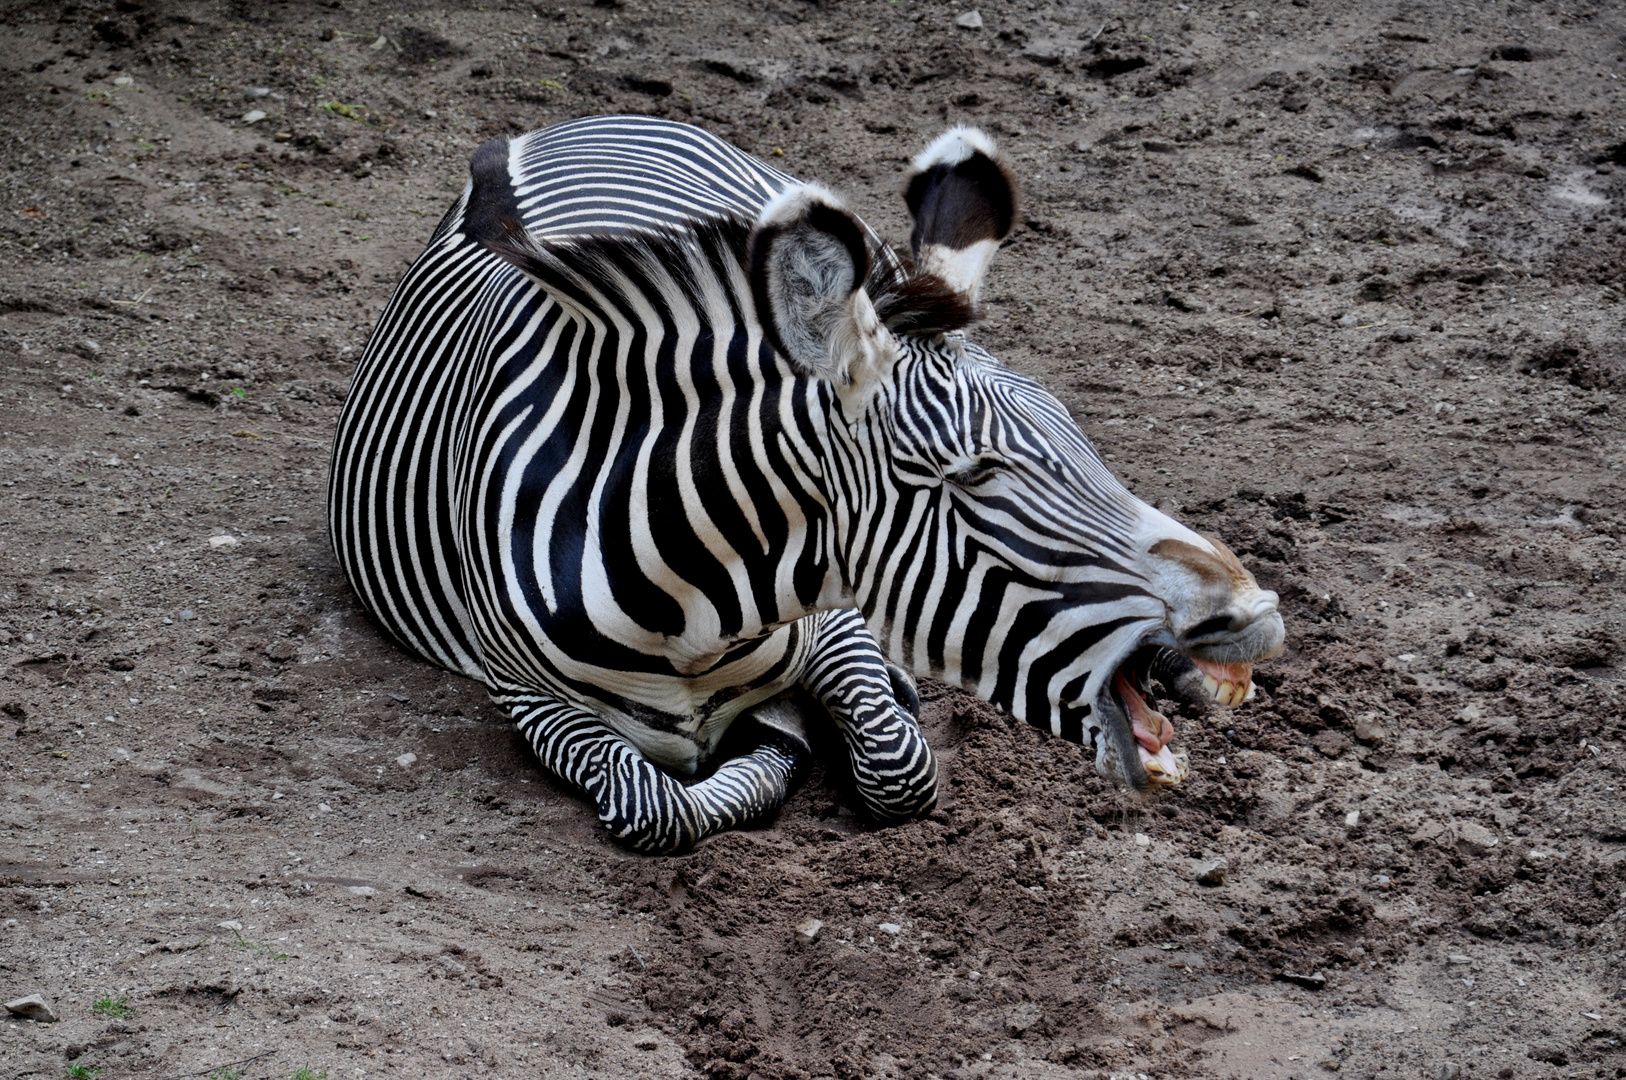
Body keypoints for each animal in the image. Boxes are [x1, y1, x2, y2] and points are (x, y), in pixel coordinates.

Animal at [326, 116, 1281, 852]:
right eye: (974, 475)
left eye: (1078, 431)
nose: (1252, 613)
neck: (686, 608)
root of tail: (593, 122)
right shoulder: (526, 695)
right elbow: (655, 806)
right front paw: (773, 744)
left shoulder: (837, 618)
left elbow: (898, 765)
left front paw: (810, 728)